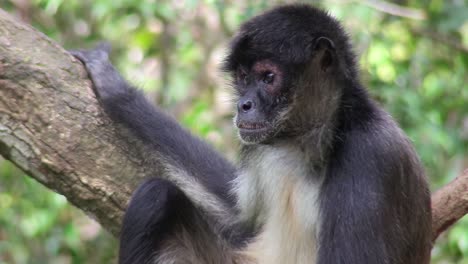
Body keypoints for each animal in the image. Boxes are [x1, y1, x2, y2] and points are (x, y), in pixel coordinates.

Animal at [71, 4, 434, 264]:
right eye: (243, 78)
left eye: (268, 77)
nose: (243, 105)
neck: (302, 144)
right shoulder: (263, 145)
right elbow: (237, 216)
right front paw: (119, 93)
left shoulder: (368, 154)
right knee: (156, 197)